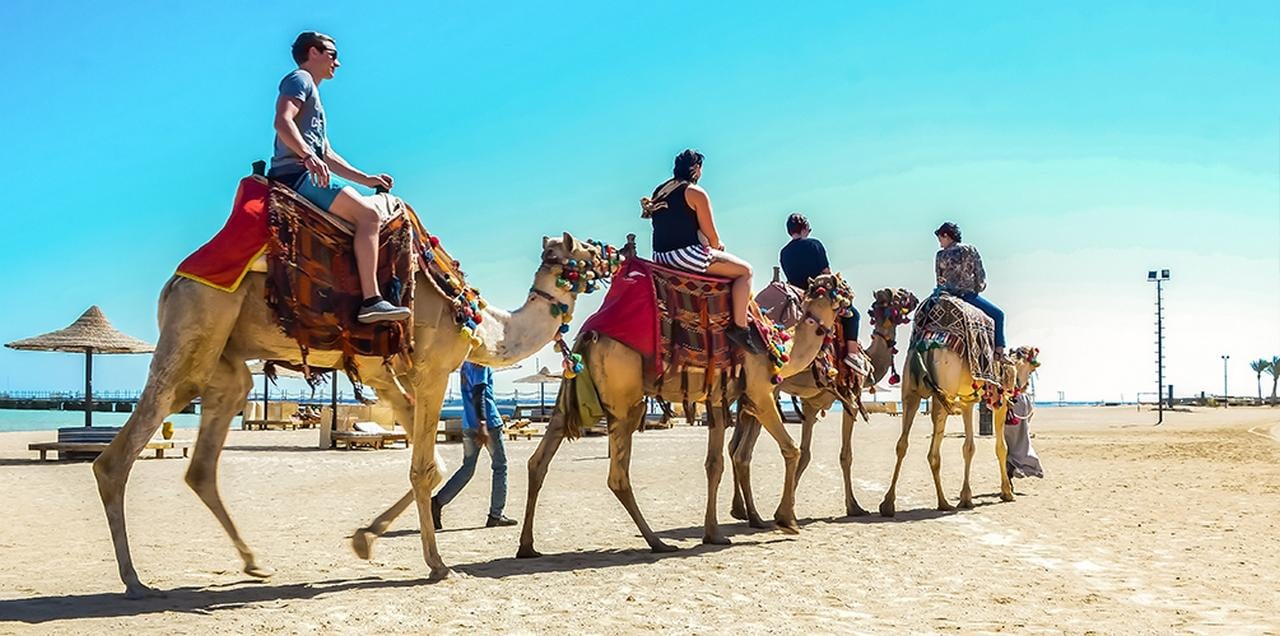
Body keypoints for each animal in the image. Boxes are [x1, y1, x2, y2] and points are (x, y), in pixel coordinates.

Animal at [92, 232, 609, 598]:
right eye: (587, 247)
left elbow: (435, 464)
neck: (481, 323)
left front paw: (366, 537)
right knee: (117, 457)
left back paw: (254, 563)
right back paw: (135, 581)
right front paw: (439, 566)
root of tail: (171, 286)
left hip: (228, 365)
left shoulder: (384, 374)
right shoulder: (432, 369)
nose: (616, 251)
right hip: (194, 332)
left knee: (201, 464)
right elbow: (423, 468)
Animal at [516, 273, 846, 557]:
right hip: (625, 402)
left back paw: (527, 546)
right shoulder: (760, 391)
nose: (851, 306)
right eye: (841, 288)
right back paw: (657, 542)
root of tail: (587, 336)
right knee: (618, 477)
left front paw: (713, 534)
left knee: (538, 461)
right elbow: (791, 450)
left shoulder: (717, 399)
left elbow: (714, 464)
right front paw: (786, 520)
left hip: (568, 396)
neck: (779, 345)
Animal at [729, 288, 919, 523]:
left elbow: (806, 453)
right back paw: (754, 516)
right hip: (767, 390)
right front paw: (854, 506)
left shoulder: (810, 406)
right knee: (743, 452)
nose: (914, 298)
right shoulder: (850, 400)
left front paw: (787, 507)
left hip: (745, 394)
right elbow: (845, 456)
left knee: (733, 446)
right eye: (899, 297)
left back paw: (740, 510)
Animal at [878, 343, 1040, 517]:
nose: (1026, 386)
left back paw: (889, 504)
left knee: (903, 444)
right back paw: (942, 503)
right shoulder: (1000, 404)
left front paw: (966, 498)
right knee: (933, 452)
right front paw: (1007, 492)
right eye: (1031, 366)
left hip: (910, 393)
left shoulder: (966, 402)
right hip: (943, 392)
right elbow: (1001, 448)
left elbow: (968, 448)